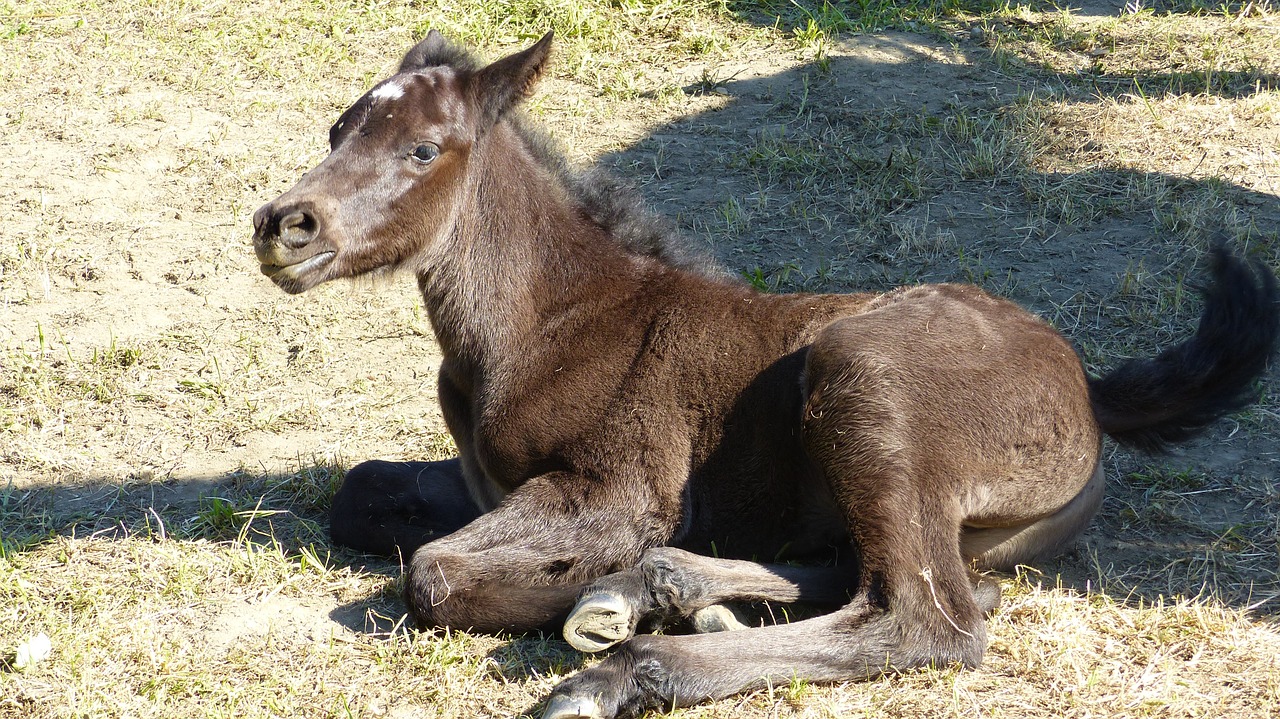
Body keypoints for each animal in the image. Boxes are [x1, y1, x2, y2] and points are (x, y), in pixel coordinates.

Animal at [252, 32, 1280, 716]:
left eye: (423, 148)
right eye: (338, 128)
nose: (284, 225)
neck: (545, 322)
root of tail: (1086, 382)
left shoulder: (615, 490)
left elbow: (431, 574)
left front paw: (613, 606)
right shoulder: (481, 479)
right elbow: (359, 493)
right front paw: (654, 593)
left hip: (864, 379)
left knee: (928, 618)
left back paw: (625, 658)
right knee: (873, 572)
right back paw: (671, 594)